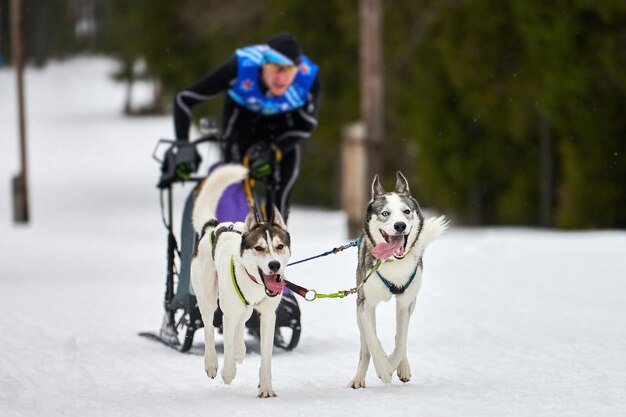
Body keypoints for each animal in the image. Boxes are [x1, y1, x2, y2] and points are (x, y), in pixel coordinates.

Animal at [190, 162, 290, 396]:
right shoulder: (228, 312)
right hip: (208, 298)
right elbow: (224, 343)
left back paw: (239, 350)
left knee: (241, 323)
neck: (254, 282)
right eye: (259, 248)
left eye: (280, 246)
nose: (275, 265)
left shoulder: (268, 316)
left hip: (244, 309)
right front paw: (227, 372)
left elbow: (266, 357)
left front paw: (266, 388)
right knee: (209, 327)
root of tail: (212, 227)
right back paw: (212, 363)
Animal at [348, 171, 446, 388]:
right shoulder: (365, 304)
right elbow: (373, 340)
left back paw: (402, 366)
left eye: (406, 211)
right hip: (359, 307)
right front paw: (384, 369)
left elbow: (401, 341)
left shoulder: (405, 303)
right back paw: (359, 377)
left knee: (399, 337)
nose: (400, 225)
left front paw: (392, 365)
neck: (393, 264)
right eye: (385, 213)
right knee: (365, 346)